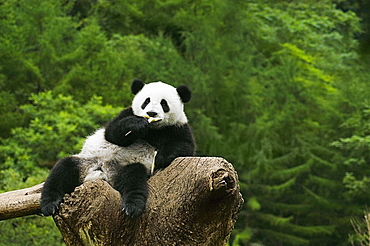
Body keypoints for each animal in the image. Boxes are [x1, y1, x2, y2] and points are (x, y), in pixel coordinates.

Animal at [40, 79, 195, 217]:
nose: (151, 113)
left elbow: (185, 146)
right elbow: (112, 133)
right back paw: (49, 204)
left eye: (164, 103)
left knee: (133, 178)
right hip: (86, 161)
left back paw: (132, 206)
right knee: (62, 170)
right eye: (146, 101)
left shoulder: (177, 127)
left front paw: (161, 158)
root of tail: (103, 171)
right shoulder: (126, 113)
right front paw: (136, 124)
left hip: (125, 167)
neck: (153, 128)